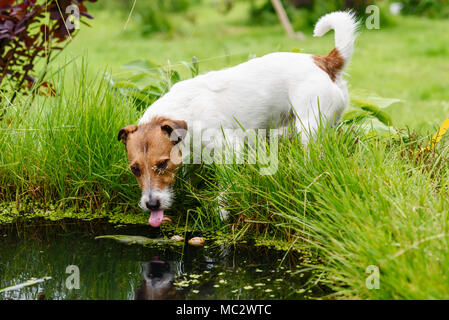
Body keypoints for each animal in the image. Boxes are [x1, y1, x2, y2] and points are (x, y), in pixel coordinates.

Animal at [118, 10, 356, 228]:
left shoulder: (230, 147)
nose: (151, 205)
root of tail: (324, 61)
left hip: (308, 128)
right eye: (134, 169)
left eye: (162, 164)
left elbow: (225, 184)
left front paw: (222, 211)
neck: (184, 112)